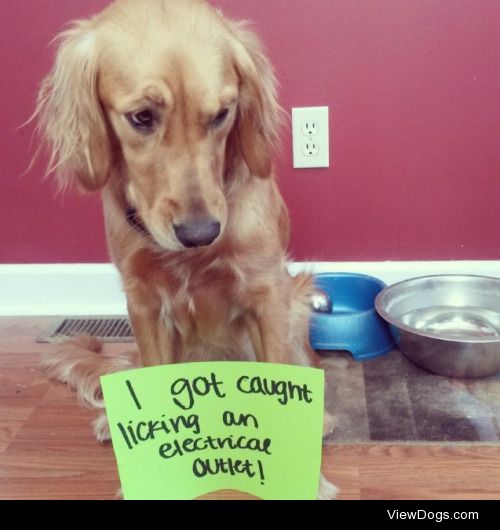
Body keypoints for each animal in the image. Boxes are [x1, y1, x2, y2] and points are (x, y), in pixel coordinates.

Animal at [37, 0, 338, 498]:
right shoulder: (143, 303)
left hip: (297, 303)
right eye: (142, 117)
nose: (201, 233)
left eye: (222, 114)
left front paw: (305, 480)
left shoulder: (267, 295)